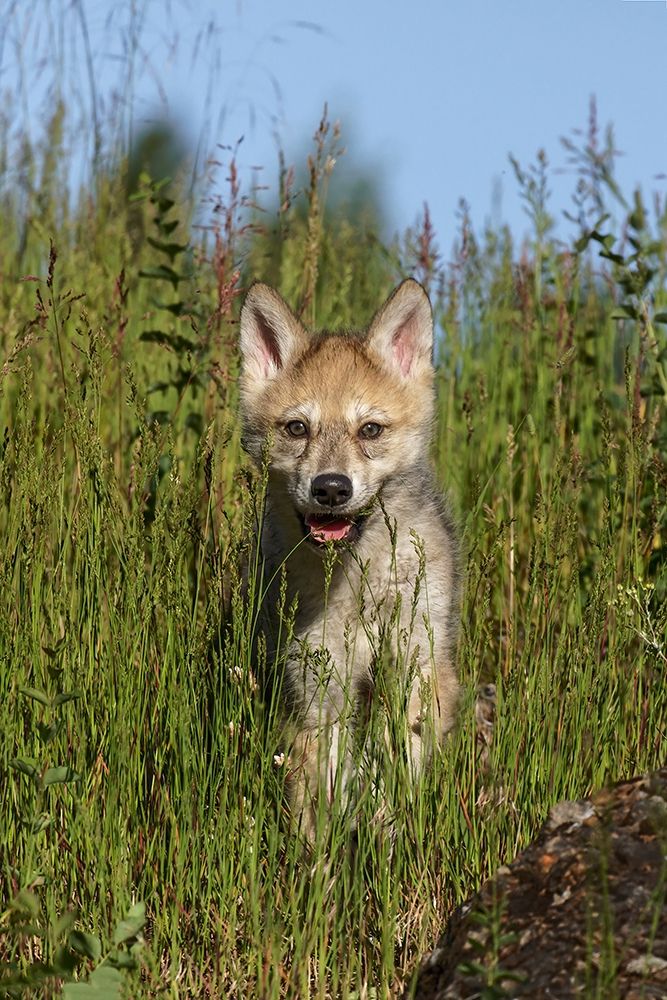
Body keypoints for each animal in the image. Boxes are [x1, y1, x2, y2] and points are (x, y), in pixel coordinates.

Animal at [238, 279, 460, 839]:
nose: (332, 489)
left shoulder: (415, 673)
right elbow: (322, 796)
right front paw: (323, 857)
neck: (357, 582)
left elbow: (394, 772)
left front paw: (382, 832)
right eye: (297, 428)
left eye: (371, 430)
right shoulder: (319, 689)